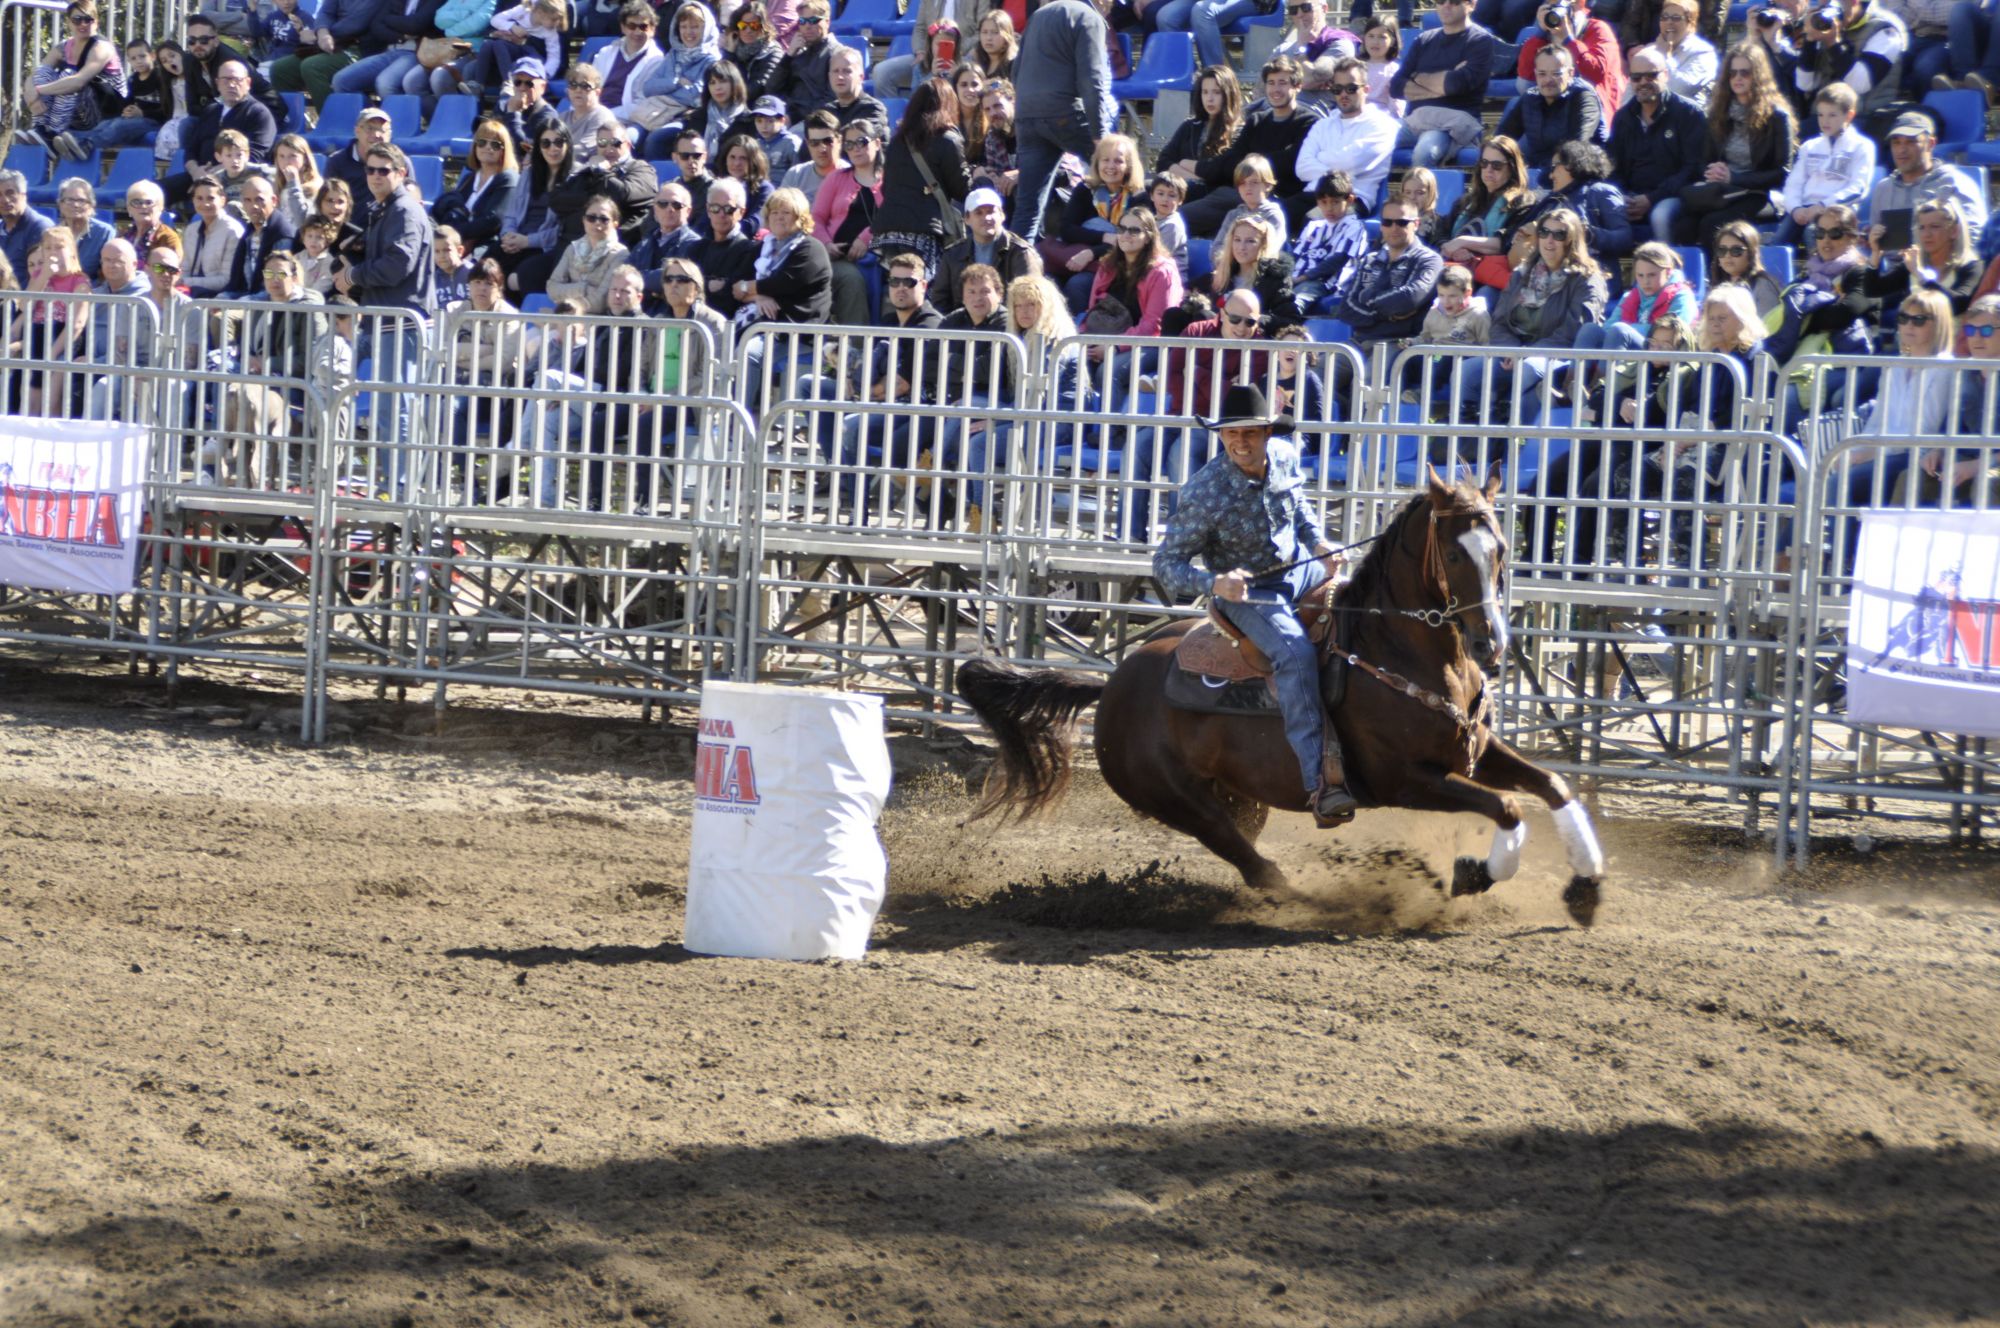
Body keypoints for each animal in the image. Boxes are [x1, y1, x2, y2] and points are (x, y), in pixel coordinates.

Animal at [952, 472, 1608, 928]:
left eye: (1500, 549)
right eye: (1451, 553)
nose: (1490, 643)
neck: (1397, 650)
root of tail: (1111, 682)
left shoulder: (1473, 750)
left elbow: (1554, 787)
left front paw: (1586, 889)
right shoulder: (1406, 779)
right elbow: (1508, 807)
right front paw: (1474, 873)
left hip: (1244, 797)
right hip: (1179, 801)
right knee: (1252, 864)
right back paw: (1317, 902)